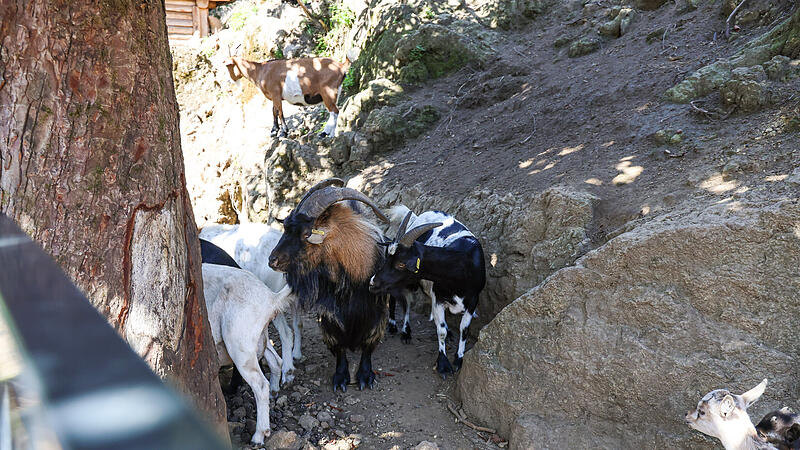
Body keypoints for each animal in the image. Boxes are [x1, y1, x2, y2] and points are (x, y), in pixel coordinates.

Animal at [202, 263, 293, 444]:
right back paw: (274, 392)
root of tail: (271, 298)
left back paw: (259, 435)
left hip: (240, 344)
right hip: (257, 338)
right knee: (275, 361)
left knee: (260, 384)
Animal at [222, 50, 356, 138]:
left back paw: (324, 133)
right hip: (335, 92)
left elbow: (280, 112)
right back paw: (332, 135)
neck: (261, 70)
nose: (228, 82)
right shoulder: (274, 97)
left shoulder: (275, 93)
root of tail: (341, 66)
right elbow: (274, 111)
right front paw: (274, 131)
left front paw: (283, 132)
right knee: (335, 112)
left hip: (328, 92)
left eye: (228, 65)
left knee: (334, 111)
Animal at [268, 178, 390, 392]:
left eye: (306, 234)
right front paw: (340, 377)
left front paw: (365, 376)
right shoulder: (328, 315)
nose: (272, 260)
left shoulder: (376, 312)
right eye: (286, 229)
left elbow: (369, 344)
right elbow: (338, 346)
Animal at [370, 206, 486, 378]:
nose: (372, 282)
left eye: (401, 264)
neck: (463, 264)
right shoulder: (439, 298)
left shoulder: (473, 301)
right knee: (403, 302)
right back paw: (401, 329)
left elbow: (463, 329)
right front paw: (443, 365)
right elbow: (441, 330)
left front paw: (458, 360)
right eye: (388, 259)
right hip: (407, 284)